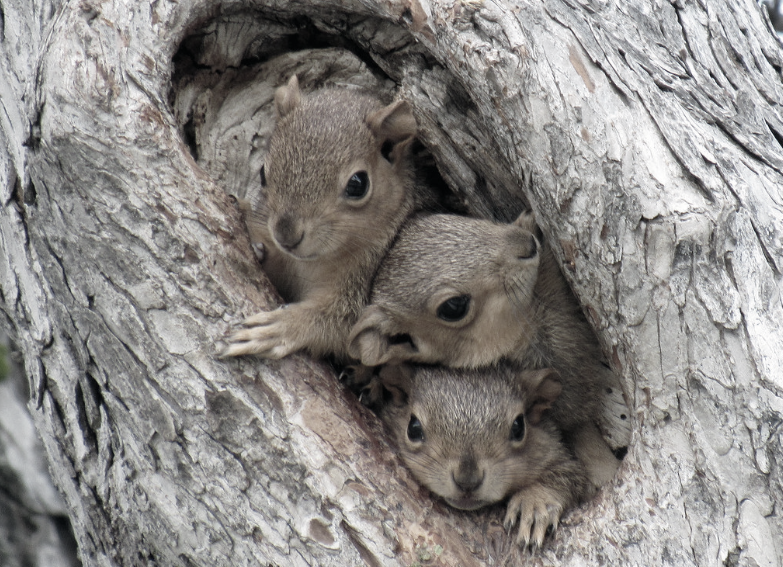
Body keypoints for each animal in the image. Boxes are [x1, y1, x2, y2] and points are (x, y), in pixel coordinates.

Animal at [224, 75, 422, 362]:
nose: (286, 236)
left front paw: (280, 327)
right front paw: (255, 242)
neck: (308, 263)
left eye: (358, 184)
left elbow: (339, 325)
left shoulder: (364, 284)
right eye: (262, 172)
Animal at [376, 364, 592, 552]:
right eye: (413, 428)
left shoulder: (553, 449)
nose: (467, 482)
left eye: (518, 427)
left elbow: (570, 474)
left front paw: (535, 504)